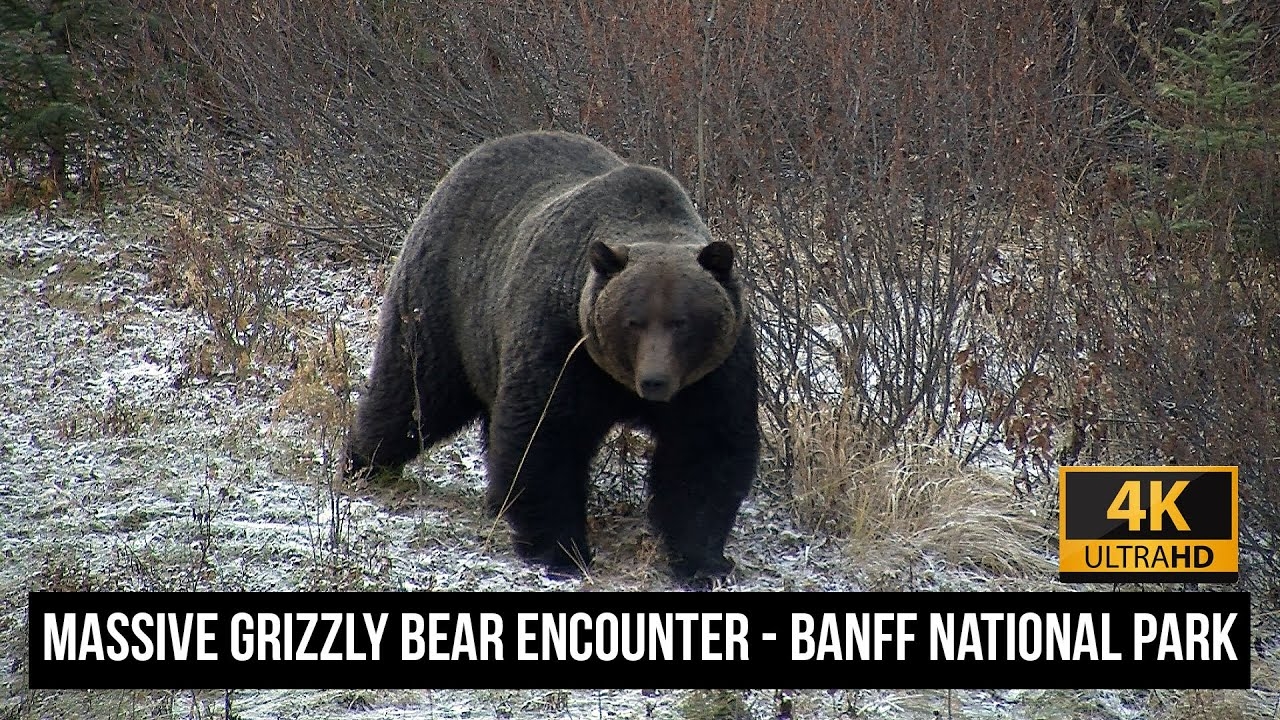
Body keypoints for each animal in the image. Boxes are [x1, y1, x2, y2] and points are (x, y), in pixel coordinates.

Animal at [346, 130, 759, 582]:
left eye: (682, 322)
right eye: (633, 321)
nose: (654, 382)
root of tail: (470, 159)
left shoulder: (714, 372)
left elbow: (705, 452)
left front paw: (705, 560)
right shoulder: (564, 344)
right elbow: (545, 435)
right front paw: (561, 550)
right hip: (445, 302)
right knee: (414, 391)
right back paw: (363, 463)